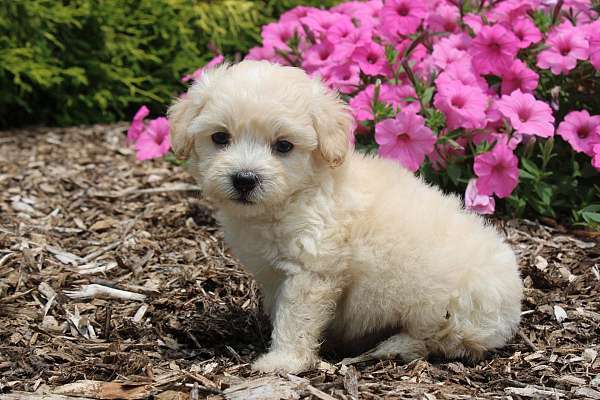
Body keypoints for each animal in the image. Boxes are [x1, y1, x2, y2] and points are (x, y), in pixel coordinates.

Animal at [166, 60, 524, 376]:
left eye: (284, 146)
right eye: (220, 137)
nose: (244, 179)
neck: (296, 195)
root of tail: (513, 309)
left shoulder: (312, 269)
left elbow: (295, 318)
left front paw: (283, 360)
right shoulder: (275, 274)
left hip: (453, 306)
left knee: (440, 340)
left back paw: (390, 347)